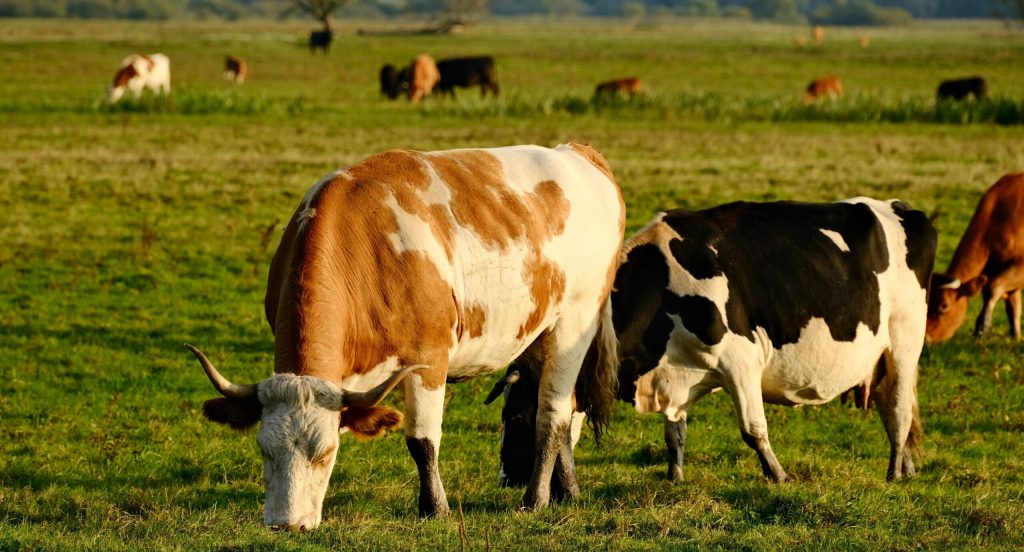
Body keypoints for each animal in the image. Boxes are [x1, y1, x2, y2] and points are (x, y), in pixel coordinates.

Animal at [187, 143, 625, 530]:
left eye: (326, 454)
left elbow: (422, 440)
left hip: (574, 324)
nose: (285, 524)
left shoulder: (429, 357)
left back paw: (535, 500)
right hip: (537, 335)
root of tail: (578, 152)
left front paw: (435, 509)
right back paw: (567, 491)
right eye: (264, 451)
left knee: (552, 414)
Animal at [491, 199, 936, 486]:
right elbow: (674, 434)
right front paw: (675, 476)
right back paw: (908, 467)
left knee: (899, 407)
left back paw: (894, 472)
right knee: (889, 403)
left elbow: (753, 429)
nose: (506, 478)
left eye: (516, 416)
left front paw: (778, 475)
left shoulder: (742, 360)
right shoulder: (677, 373)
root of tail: (901, 208)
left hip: (905, 338)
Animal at [926, 173, 1024, 343]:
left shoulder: (1019, 267)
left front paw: (982, 327)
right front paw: (1016, 336)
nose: (926, 337)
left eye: (944, 306)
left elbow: (993, 287)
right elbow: (1013, 307)